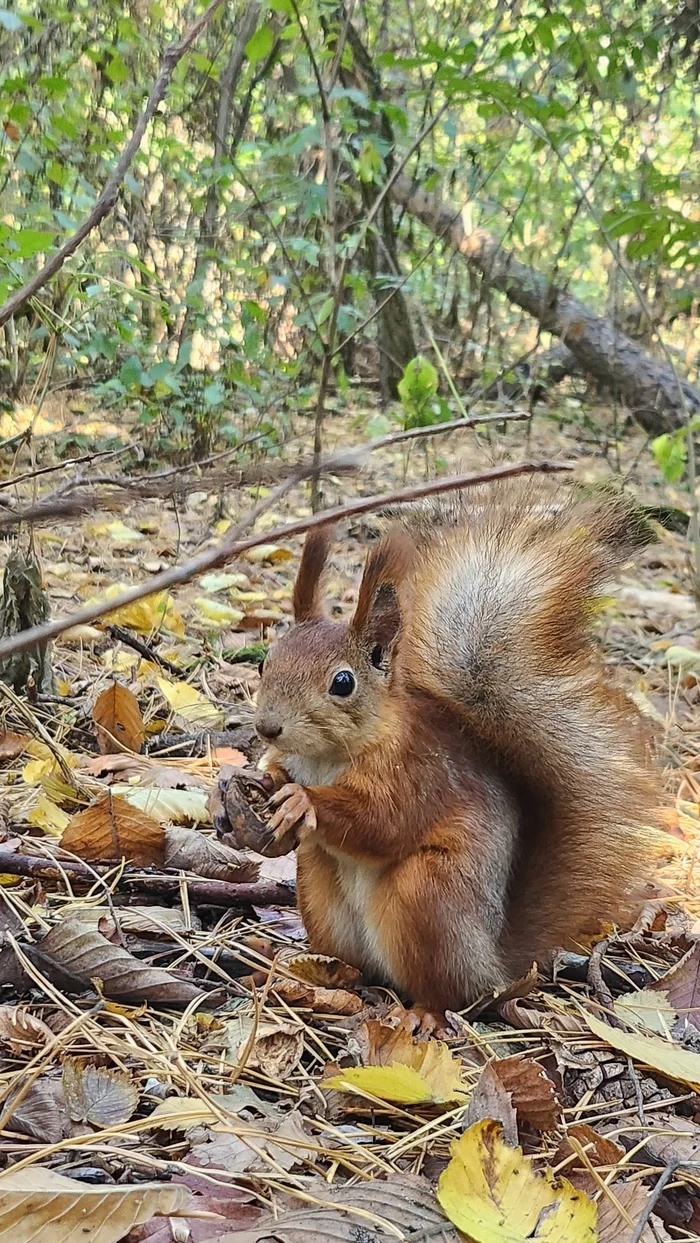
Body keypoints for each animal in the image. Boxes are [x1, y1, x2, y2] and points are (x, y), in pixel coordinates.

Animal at [254, 479, 661, 1014]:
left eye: (342, 682)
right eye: (265, 661)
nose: (267, 728)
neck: (327, 758)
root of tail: (496, 962)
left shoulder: (416, 772)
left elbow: (384, 823)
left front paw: (302, 800)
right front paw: (258, 777)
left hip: (428, 896)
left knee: (448, 993)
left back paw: (425, 1015)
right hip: (318, 885)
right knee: (354, 958)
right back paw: (316, 972)